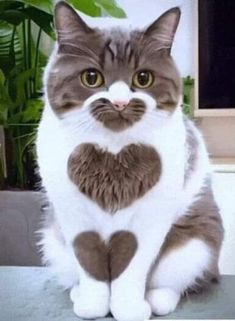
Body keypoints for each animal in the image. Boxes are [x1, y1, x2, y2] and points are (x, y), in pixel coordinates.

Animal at [35, 1, 223, 318]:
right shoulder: (74, 217)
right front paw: (93, 305)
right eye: (91, 78)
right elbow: (90, 265)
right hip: (54, 240)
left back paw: (157, 300)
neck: (112, 154)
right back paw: (77, 293)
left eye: (143, 78)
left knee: (175, 282)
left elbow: (132, 269)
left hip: (193, 245)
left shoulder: (149, 221)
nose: (120, 102)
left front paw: (128, 309)